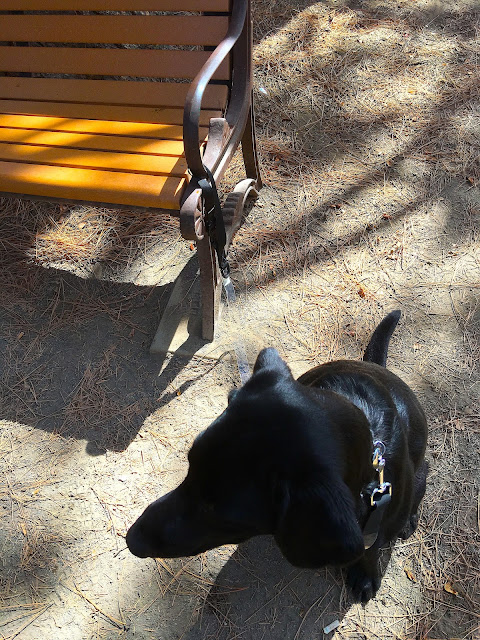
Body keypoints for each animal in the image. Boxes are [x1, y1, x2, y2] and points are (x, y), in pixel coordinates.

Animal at [127, 310, 428, 603]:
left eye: (216, 509)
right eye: (190, 466)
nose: (131, 540)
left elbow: (374, 548)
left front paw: (365, 574)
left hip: (419, 475)